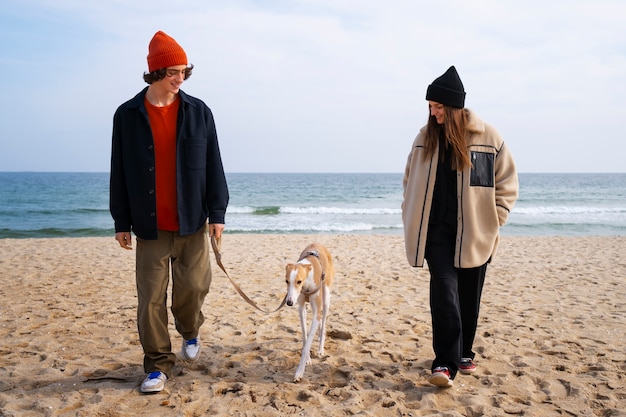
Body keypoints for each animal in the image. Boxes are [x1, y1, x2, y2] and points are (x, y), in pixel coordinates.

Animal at [286, 242, 334, 382]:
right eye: (286, 281)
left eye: (299, 281)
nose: (289, 302)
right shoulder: (301, 307)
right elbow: (305, 337)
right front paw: (307, 359)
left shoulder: (316, 312)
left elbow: (308, 344)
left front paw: (299, 372)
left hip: (326, 298)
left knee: (323, 322)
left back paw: (320, 348)